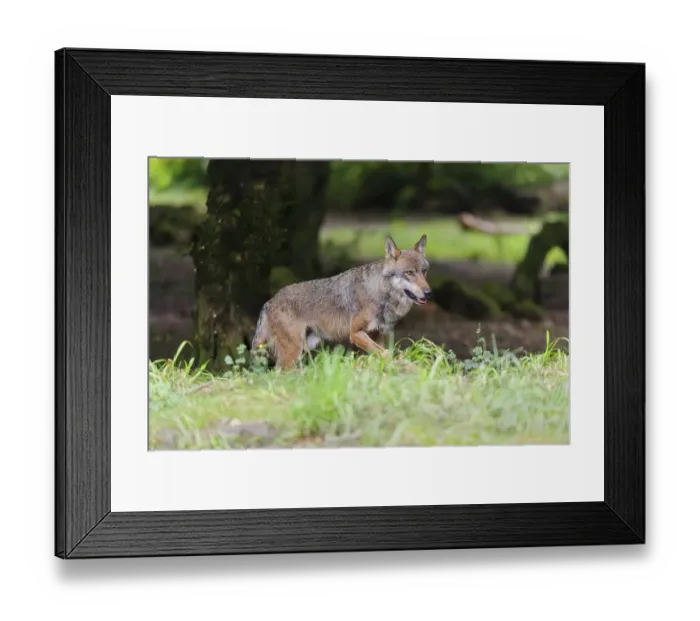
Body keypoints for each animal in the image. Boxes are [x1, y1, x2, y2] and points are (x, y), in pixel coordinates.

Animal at [252, 235, 432, 369]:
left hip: (304, 348)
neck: (380, 293)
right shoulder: (355, 333)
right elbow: (386, 353)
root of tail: (269, 302)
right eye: (409, 273)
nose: (429, 293)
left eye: (424, 272)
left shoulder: (377, 335)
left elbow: (379, 356)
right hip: (294, 352)